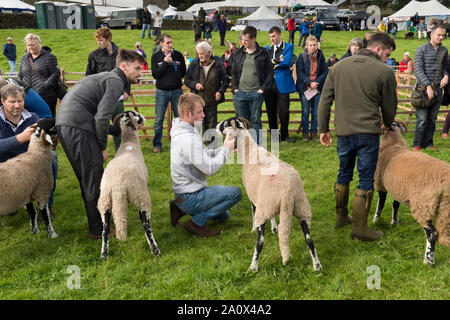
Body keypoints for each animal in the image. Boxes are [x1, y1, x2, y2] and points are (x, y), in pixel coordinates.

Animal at [97, 111, 161, 258]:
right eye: (136, 114)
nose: (143, 117)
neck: (129, 143)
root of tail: (117, 187)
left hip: (104, 202)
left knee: (105, 230)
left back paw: (104, 255)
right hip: (142, 197)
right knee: (146, 225)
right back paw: (155, 250)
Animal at [372, 120, 450, 264]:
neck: (393, 144)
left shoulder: (381, 185)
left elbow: (380, 205)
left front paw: (375, 220)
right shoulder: (399, 189)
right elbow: (395, 205)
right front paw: (394, 222)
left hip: (422, 205)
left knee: (432, 234)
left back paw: (428, 261)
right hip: (445, 207)